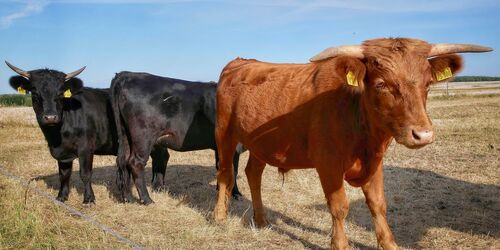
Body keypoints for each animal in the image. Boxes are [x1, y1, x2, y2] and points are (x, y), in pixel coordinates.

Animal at [4, 61, 168, 204]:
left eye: (61, 93)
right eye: (34, 93)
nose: (50, 117)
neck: (57, 136)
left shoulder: (86, 147)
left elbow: (85, 174)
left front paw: (89, 199)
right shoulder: (62, 153)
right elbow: (64, 175)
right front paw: (61, 197)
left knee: (161, 157)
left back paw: (158, 186)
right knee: (160, 157)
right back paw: (156, 186)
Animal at [111, 71, 242, 204]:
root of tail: (127, 74)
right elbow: (233, 170)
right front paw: (235, 194)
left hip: (125, 135)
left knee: (123, 162)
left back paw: (128, 198)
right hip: (144, 136)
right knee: (135, 163)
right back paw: (147, 199)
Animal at [213, 37, 490, 250]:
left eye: (428, 83)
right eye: (381, 84)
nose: (422, 134)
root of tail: (241, 61)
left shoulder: (375, 163)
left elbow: (378, 204)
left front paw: (390, 243)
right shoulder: (328, 165)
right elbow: (339, 207)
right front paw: (340, 244)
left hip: (261, 143)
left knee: (253, 173)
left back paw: (261, 220)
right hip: (224, 134)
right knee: (226, 173)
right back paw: (219, 216)